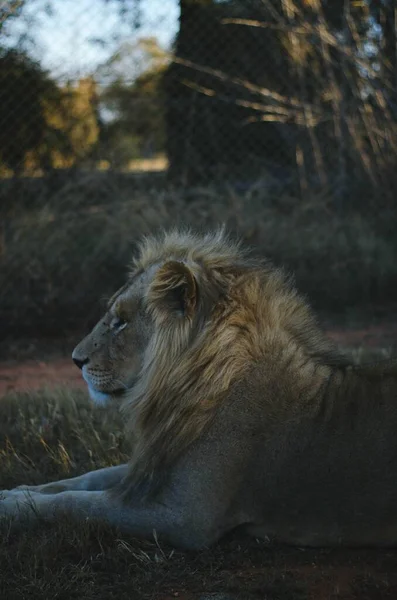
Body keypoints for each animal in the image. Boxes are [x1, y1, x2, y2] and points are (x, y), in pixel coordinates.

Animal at [2, 229, 396, 548]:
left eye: (120, 323)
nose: (75, 359)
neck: (188, 390)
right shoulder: (156, 464)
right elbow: (85, 479)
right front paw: (15, 491)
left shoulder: (183, 516)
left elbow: (77, 505)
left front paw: (13, 507)